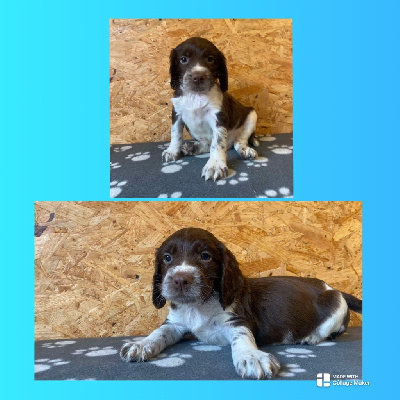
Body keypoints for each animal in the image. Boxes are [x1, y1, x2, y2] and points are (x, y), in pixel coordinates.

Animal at [119, 227, 362, 380]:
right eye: (167, 258)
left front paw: (251, 357)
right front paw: (141, 344)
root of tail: (332, 287)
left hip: (335, 304)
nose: (180, 279)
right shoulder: (175, 324)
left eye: (205, 256)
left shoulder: (236, 320)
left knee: (330, 329)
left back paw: (309, 338)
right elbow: (159, 332)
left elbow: (242, 338)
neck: (198, 305)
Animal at [162, 37, 260, 181]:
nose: (198, 76)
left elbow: (217, 143)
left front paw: (215, 165)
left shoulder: (218, 117)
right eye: (183, 59)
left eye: (210, 59)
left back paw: (245, 150)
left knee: (239, 141)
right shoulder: (177, 113)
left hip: (252, 116)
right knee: (207, 143)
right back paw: (193, 148)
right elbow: (175, 133)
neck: (196, 95)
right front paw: (172, 151)